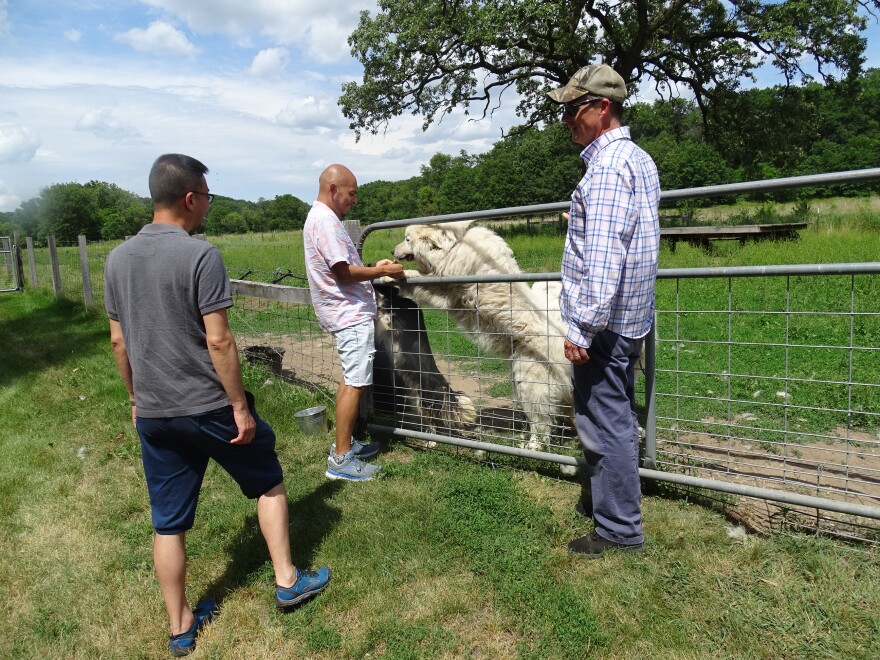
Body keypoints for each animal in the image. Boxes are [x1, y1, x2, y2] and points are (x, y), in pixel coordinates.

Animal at [390, 222, 572, 448]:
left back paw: (532, 445)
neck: (455, 244)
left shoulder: (444, 281)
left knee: (542, 423)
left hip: (530, 384)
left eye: (407, 239)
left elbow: (412, 274)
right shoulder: (445, 296)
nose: (392, 251)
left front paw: (387, 274)